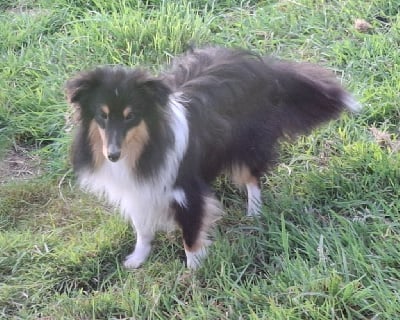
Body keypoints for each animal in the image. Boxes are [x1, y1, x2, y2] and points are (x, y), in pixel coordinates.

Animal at [65, 46, 360, 268]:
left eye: (131, 116)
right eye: (102, 115)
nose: (112, 155)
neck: (144, 148)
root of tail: (264, 68)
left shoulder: (185, 192)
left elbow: (191, 235)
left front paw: (193, 272)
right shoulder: (138, 191)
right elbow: (142, 228)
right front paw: (136, 259)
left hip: (245, 145)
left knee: (252, 177)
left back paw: (254, 212)